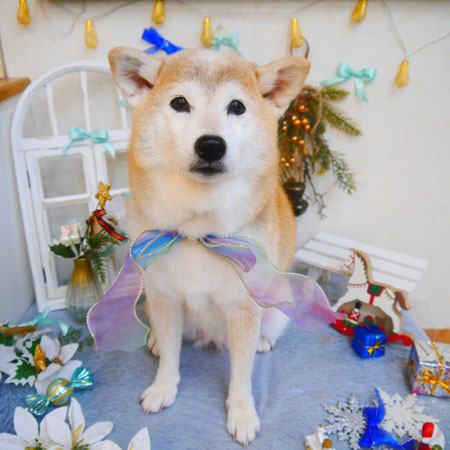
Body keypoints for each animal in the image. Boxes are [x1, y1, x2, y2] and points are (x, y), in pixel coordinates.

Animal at [108, 47, 310, 446]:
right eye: (179, 102)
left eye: (237, 106)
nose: (211, 144)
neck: (196, 231)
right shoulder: (165, 298)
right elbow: (171, 357)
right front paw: (163, 387)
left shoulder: (243, 308)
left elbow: (242, 373)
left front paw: (242, 412)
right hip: (150, 300)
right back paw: (155, 340)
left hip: (277, 303)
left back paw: (263, 341)